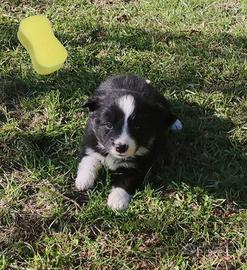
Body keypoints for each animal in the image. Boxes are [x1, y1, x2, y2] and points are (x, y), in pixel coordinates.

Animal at [75, 74, 181, 211]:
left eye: (137, 127)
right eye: (108, 125)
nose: (121, 147)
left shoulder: (137, 165)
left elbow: (125, 181)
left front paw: (117, 200)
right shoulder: (90, 142)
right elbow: (88, 161)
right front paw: (83, 181)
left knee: (168, 113)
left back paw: (176, 123)